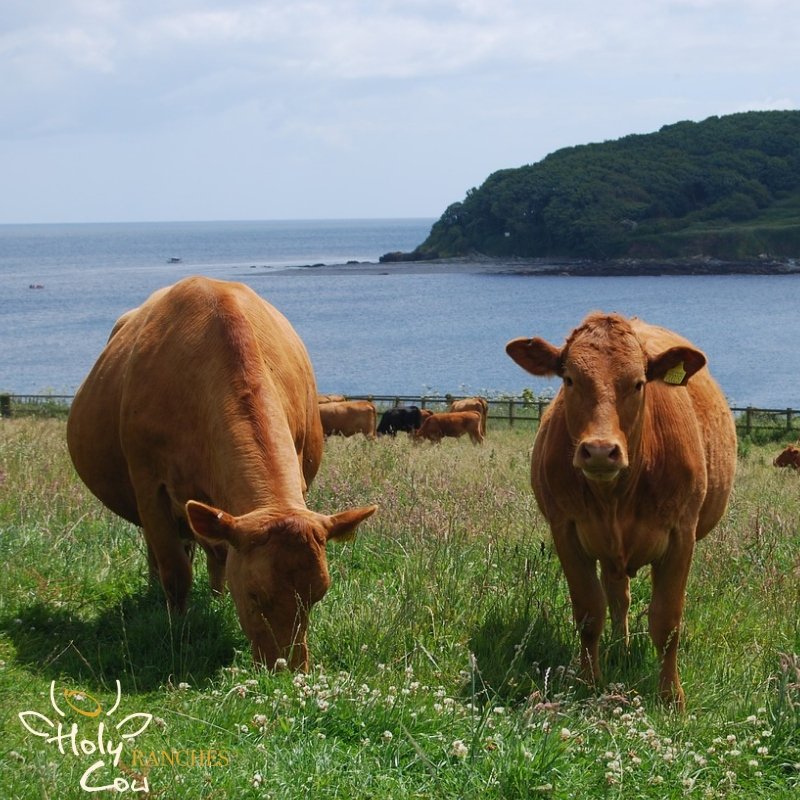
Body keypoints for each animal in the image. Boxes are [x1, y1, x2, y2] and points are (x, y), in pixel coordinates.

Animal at [67, 276, 377, 671]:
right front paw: (177, 627)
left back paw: (213, 598)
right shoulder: (150, 486)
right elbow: (175, 569)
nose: (288, 671)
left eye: (319, 594)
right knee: (161, 552)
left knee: (213, 553)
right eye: (254, 594)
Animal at [506, 312, 736, 709]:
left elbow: (667, 620)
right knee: (617, 597)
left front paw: (671, 697)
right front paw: (588, 682)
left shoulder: (682, 534)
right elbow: (588, 612)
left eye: (638, 383)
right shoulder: (565, 530)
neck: (615, 496)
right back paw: (619, 647)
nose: (600, 450)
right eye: (569, 379)